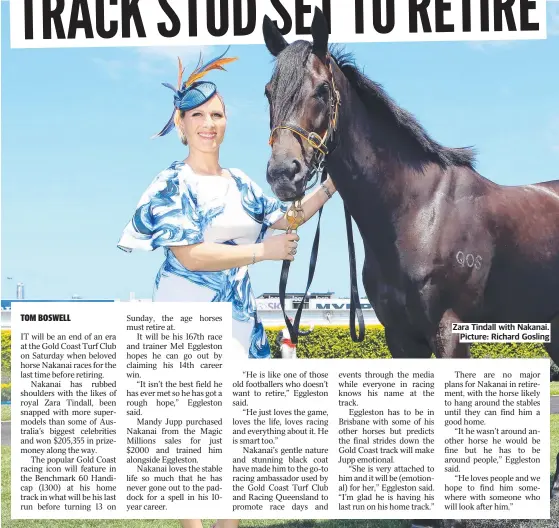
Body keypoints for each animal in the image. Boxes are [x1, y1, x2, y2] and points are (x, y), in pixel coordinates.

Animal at [264, 7, 559, 528]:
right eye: (267, 91)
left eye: (320, 90)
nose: (284, 174)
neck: (417, 211)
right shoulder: (401, 339)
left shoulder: (452, 335)